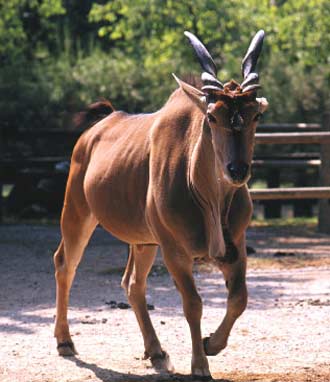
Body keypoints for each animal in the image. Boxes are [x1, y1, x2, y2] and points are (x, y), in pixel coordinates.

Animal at [54, 30, 268, 382]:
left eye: (256, 115)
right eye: (212, 116)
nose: (237, 170)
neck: (207, 195)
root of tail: (95, 130)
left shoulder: (234, 246)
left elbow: (239, 299)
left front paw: (211, 344)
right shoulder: (174, 251)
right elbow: (193, 303)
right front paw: (200, 364)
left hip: (143, 242)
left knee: (132, 284)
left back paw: (155, 351)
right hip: (77, 212)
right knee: (65, 264)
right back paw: (64, 342)